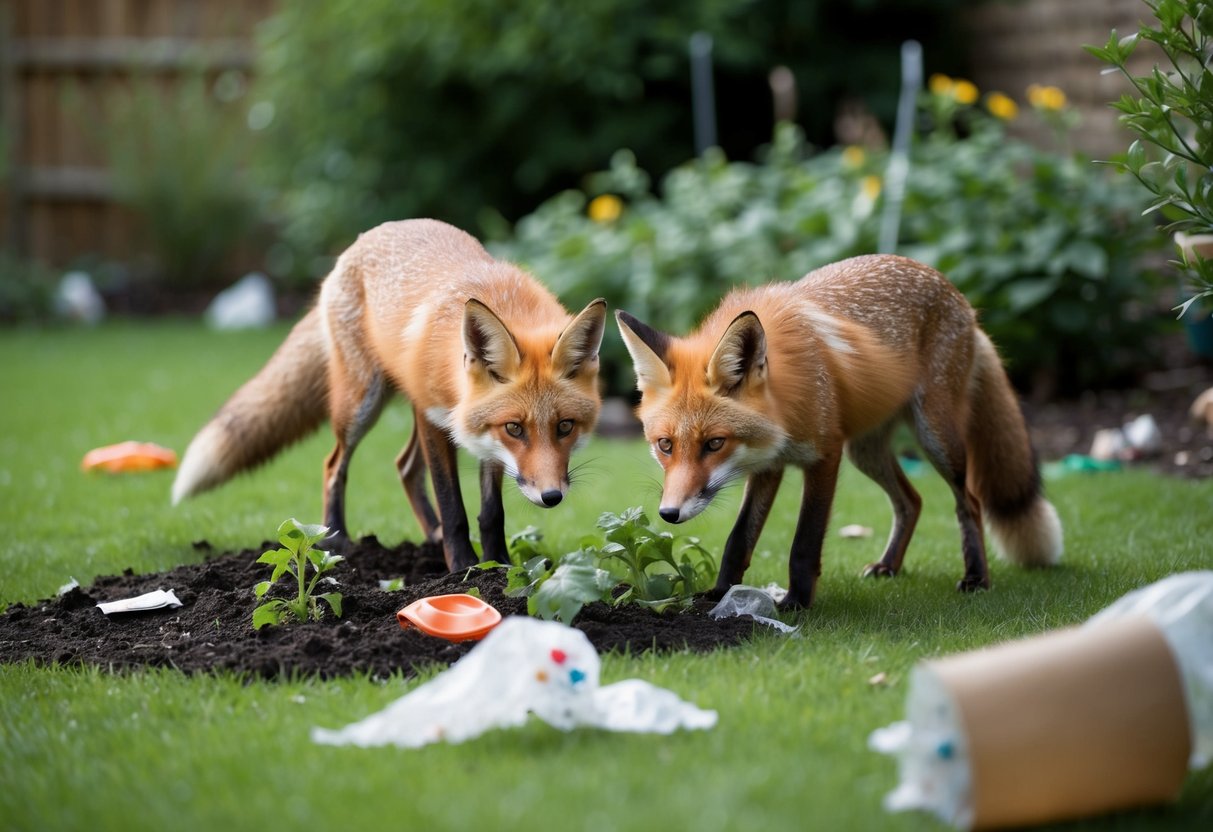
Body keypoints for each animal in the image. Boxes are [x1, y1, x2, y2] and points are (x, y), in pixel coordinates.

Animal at [172, 219, 607, 572]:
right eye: (516, 428)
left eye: (565, 426)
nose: (551, 497)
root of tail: (373, 233)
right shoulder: (440, 418)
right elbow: (453, 506)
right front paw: (463, 568)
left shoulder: (481, 433)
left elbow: (490, 512)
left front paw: (497, 564)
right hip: (361, 403)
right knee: (334, 465)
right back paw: (337, 538)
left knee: (403, 466)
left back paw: (429, 535)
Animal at [616, 254, 1062, 609]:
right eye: (665, 445)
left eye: (714, 443)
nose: (669, 514)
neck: (789, 396)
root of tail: (962, 300)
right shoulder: (768, 465)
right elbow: (738, 539)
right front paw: (720, 594)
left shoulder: (824, 457)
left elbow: (804, 543)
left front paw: (797, 603)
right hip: (866, 452)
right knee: (912, 501)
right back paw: (889, 565)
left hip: (935, 437)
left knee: (968, 500)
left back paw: (976, 578)